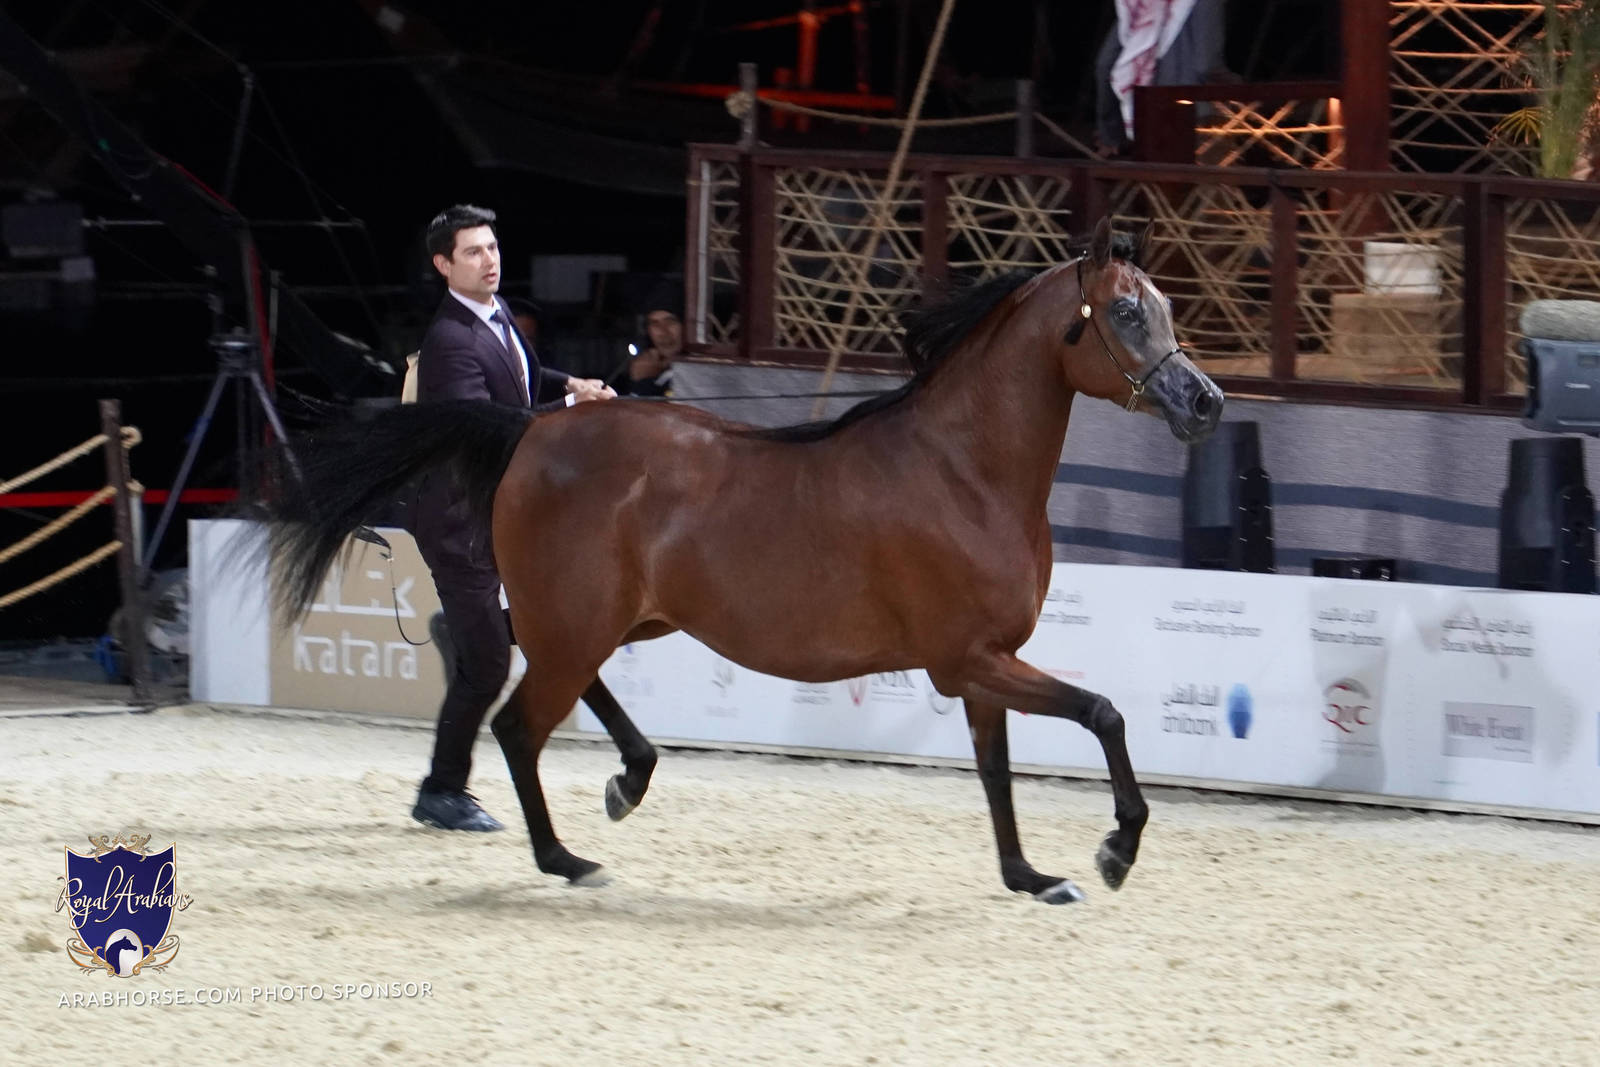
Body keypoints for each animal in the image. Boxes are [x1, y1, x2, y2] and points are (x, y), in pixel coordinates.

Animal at [263, 218, 1224, 904]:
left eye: (1167, 308)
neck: (964, 469)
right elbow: (1103, 714)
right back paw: (567, 857)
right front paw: (1115, 849)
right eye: (1127, 313)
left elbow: (997, 769)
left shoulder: (983, 662)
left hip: (612, 618)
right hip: (580, 621)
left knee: (509, 658)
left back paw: (625, 778)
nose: (1204, 403)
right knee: (514, 722)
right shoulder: (969, 658)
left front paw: (1031, 876)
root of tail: (531, 427)